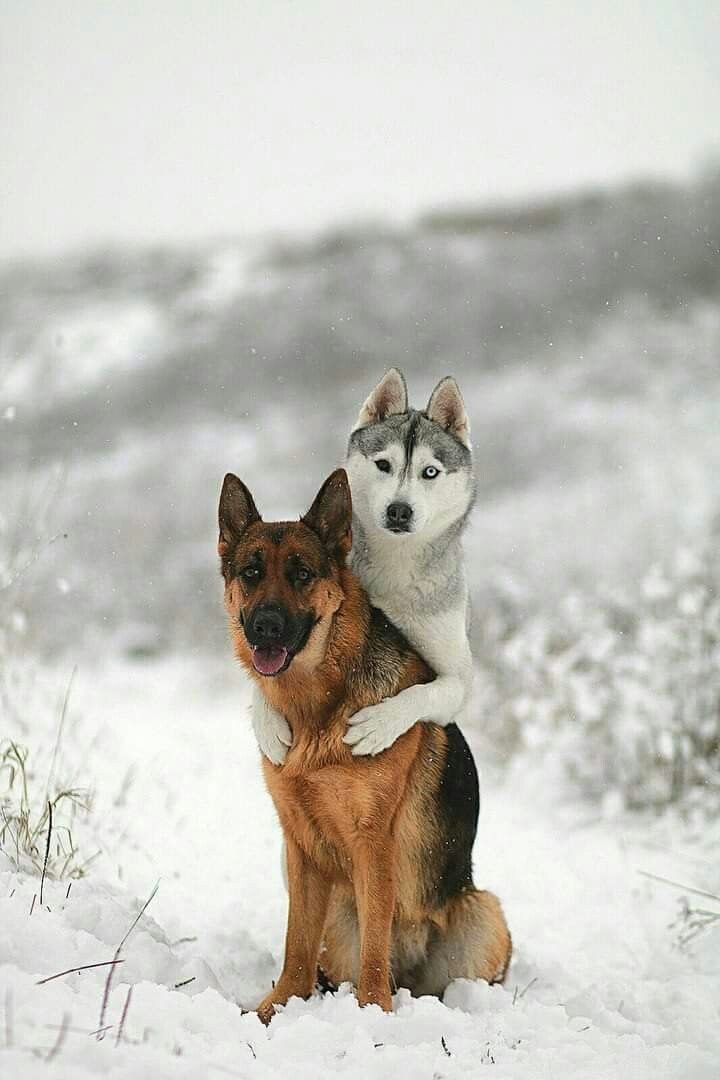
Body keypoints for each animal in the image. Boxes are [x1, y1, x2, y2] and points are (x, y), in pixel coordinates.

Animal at [218, 468, 510, 1023]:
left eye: (302, 574)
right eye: (251, 572)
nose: (265, 626)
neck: (317, 707)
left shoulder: (372, 844)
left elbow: (375, 946)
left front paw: (373, 1014)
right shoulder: (301, 849)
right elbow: (296, 944)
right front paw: (276, 1009)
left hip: (483, 913)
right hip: (338, 912)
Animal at [252, 369, 475, 764]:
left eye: (430, 472)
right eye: (383, 465)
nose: (399, 510)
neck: (394, 563)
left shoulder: (459, 678)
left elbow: (428, 690)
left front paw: (380, 724)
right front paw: (266, 723)